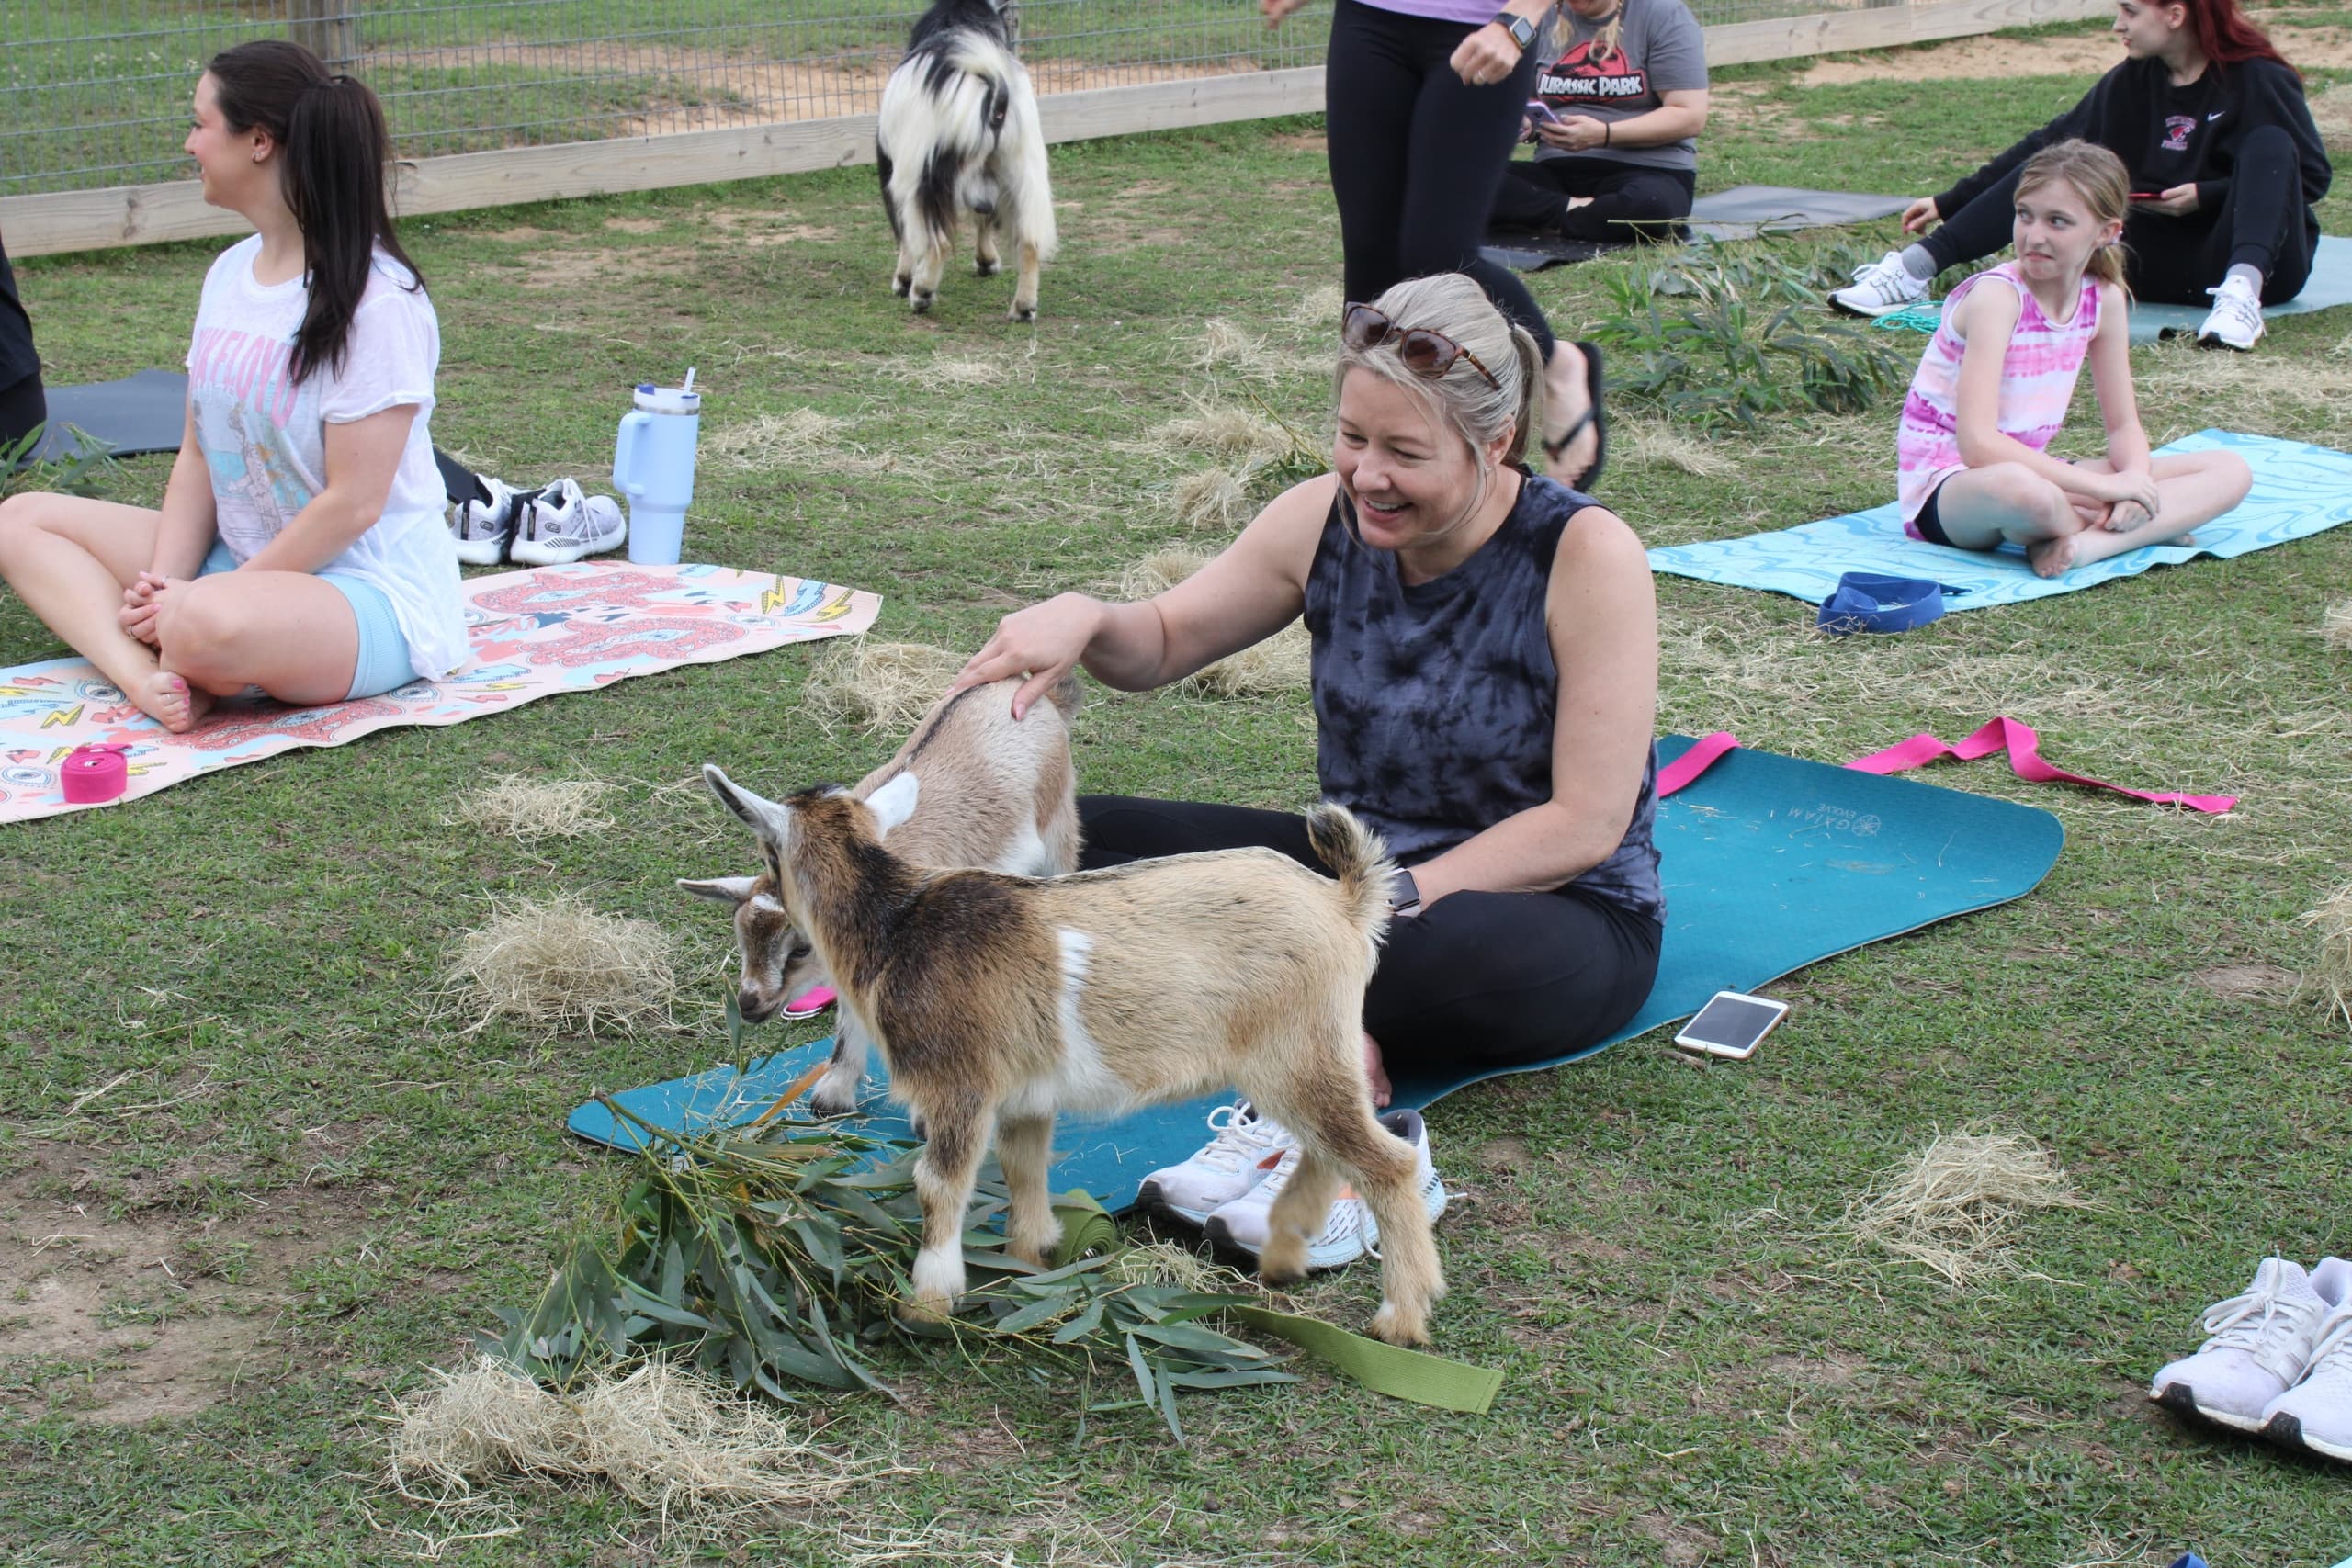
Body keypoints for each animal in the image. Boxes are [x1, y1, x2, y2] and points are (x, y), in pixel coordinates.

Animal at [680, 674, 1079, 1116]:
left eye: (800, 947)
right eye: (741, 935)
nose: (749, 1003)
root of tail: (1024, 687)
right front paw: (834, 1093)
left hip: (1058, 829)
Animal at [697, 769, 1447, 1347]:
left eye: (792, 939)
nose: (751, 1004)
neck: (898, 926)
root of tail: (1346, 902)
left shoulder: (957, 1086)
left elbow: (938, 1185)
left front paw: (927, 1302)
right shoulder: (1024, 1096)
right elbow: (1023, 1169)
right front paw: (1029, 1261)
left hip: (1298, 1052)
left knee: (1385, 1162)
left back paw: (1400, 1320)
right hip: (1309, 1057)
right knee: (1330, 1147)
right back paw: (1286, 1253)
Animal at [875, 0, 1057, 320]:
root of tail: (995, 94)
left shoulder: (897, 170)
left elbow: (906, 233)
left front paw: (902, 280)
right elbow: (986, 218)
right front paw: (987, 262)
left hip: (923, 176)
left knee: (938, 241)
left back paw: (921, 292)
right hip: (1023, 169)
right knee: (1029, 240)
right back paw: (1023, 307)